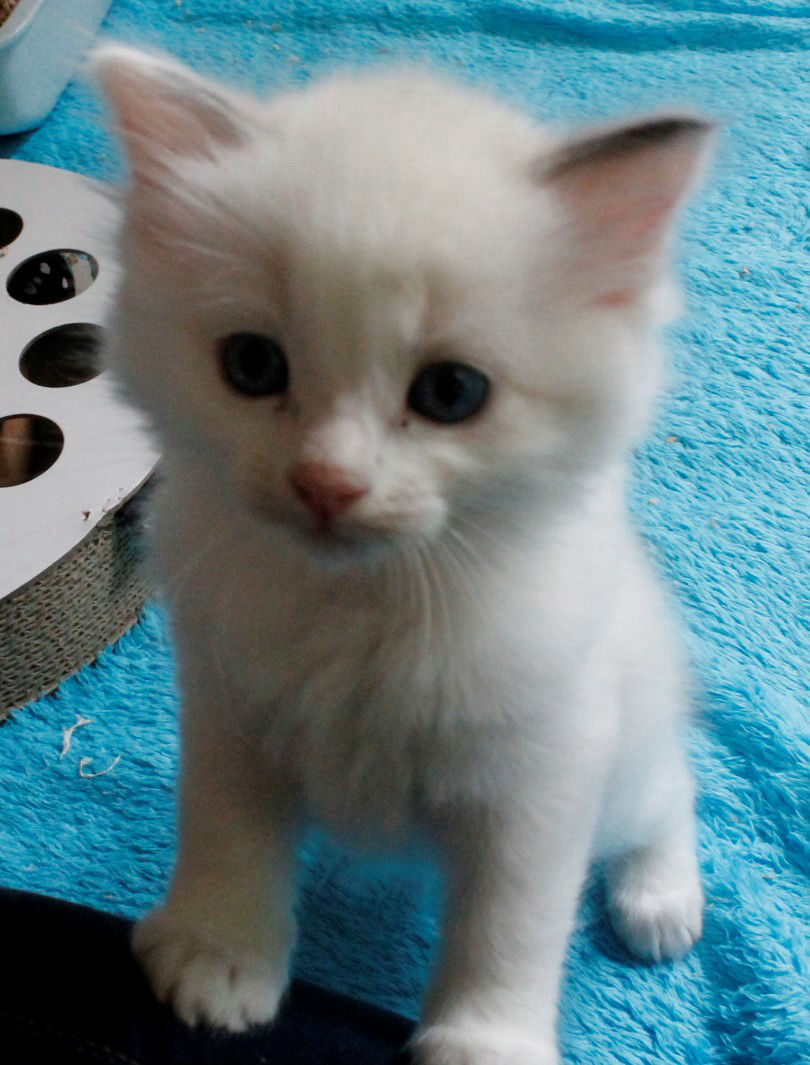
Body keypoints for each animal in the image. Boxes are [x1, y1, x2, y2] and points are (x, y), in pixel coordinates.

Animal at [95, 45, 712, 1065]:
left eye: (451, 392)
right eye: (252, 366)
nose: (326, 482)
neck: (366, 603)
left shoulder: (543, 772)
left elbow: (508, 925)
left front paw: (485, 1042)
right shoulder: (228, 710)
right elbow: (225, 835)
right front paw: (219, 956)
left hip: (625, 752)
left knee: (673, 789)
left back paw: (661, 901)